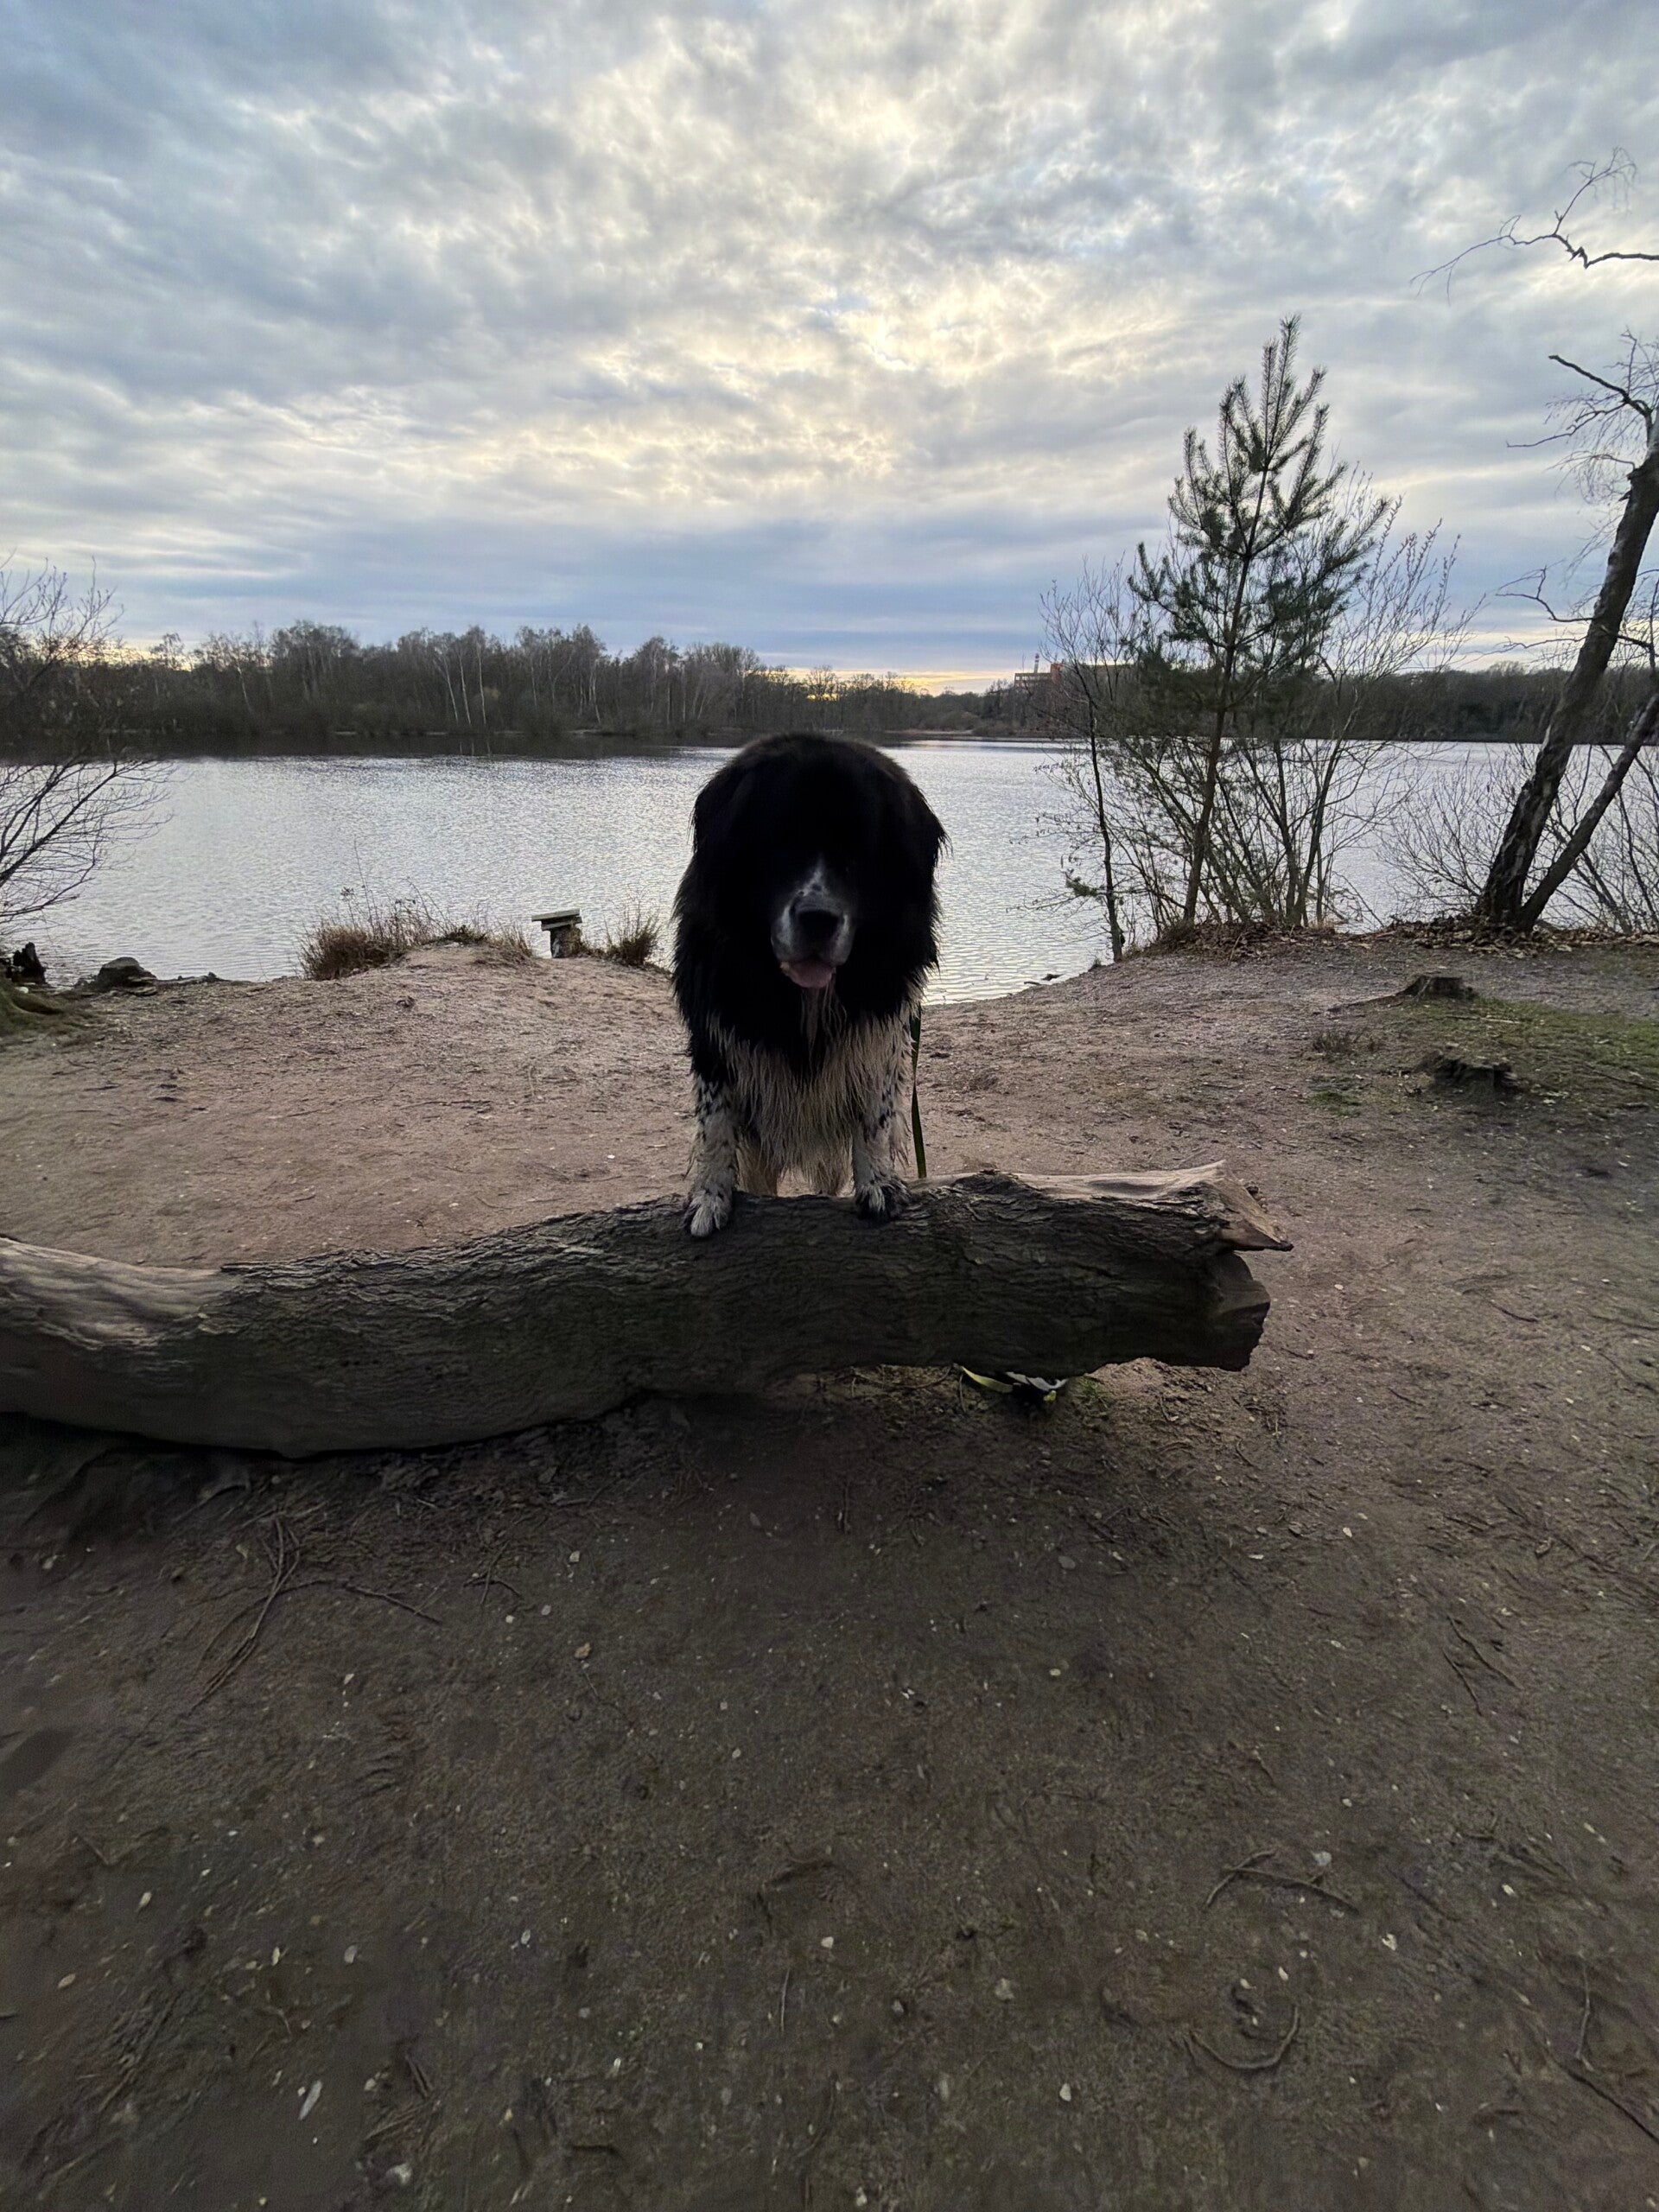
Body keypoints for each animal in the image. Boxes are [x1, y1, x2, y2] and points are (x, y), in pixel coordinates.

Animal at [673, 733, 946, 1237]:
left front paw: (877, 1185)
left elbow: (873, 1117)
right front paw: (710, 1198)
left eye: (859, 852)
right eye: (780, 842)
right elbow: (715, 1127)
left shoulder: (879, 1032)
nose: (818, 919)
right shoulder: (714, 1035)